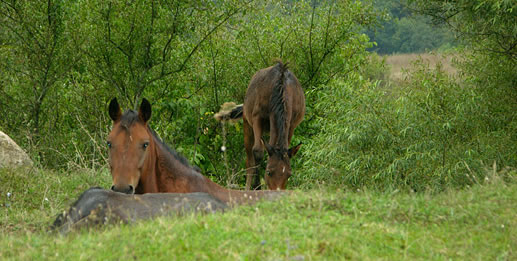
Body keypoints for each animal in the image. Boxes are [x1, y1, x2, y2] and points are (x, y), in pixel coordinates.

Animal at [215, 62, 304, 190]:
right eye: (268, 172)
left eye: (289, 175)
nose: (276, 191)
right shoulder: (257, 117)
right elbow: (257, 151)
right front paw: (256, 187)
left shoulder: (291, 124)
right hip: (247, 124)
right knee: (249, 161)